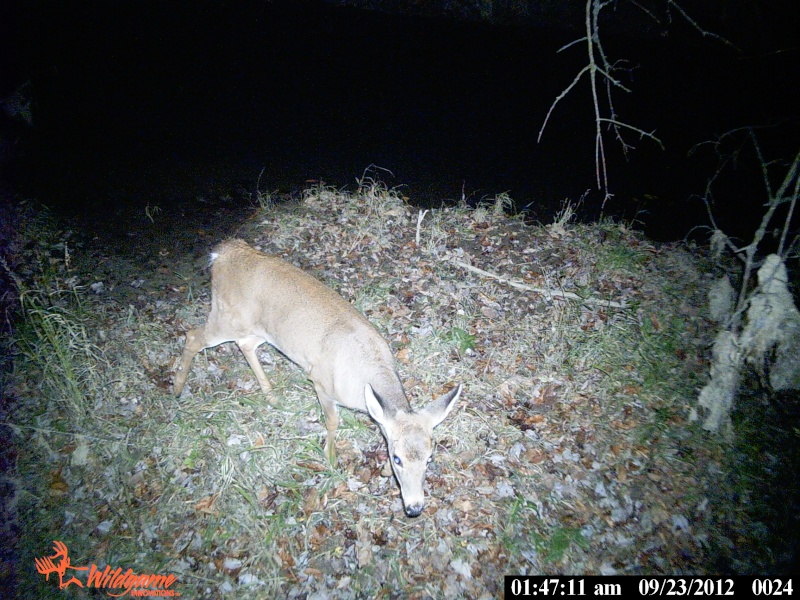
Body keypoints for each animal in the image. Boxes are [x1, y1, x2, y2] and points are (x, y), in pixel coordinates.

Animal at [175, 238, 462, 516]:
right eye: (396, 458)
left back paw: (271, 396)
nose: (414, 508)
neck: (365, 375)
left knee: (244, 345)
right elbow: (333, 421)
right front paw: (330, 457)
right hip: (226, 315)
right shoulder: (321, 382)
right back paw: (177, 388)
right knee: (193, 335)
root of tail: (224, 253)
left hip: (259, 329)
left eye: (429, 458)